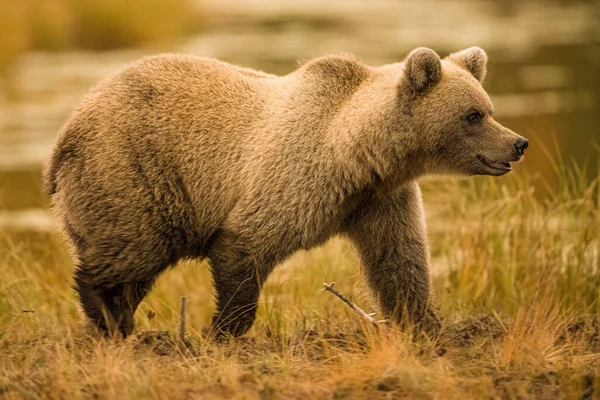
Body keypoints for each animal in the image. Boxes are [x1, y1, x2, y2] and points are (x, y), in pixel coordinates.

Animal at [42, 48, 528, 340]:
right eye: (473, 115)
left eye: (488, 108)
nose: (518, 143)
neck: (357, 157)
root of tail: (64, 135)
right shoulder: (294, 178)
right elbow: (245, 244)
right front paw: (223, 329)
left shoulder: (380, 199)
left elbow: (399, 260)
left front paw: (424, 325)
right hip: (135, 172)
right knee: (132, 248)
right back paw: (109, 316)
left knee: (133, 264)